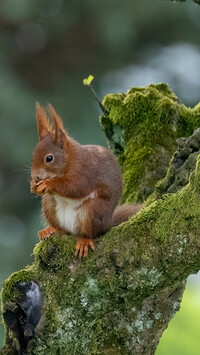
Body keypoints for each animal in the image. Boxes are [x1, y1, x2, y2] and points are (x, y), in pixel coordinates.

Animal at [30, 102, 141, 256]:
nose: (35, 176)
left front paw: (48, 184)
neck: (70, 160)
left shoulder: (85, 171)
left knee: (93, 233)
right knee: (63, 230)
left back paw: (85, 240)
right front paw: (32, 185)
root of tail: (108, 223)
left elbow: (75, 187)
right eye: (33, 155)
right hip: (49, 204)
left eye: (49, 158)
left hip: (93, 210)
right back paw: (51, 229)